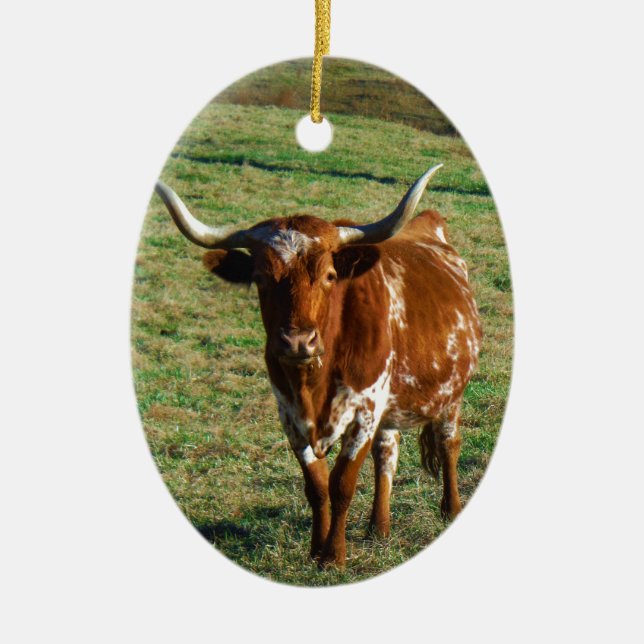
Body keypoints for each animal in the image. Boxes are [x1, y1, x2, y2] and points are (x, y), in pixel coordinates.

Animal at [154, 164, 482, 568]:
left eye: (329, 275)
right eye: (260, 278)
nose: (297, 342)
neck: (314, 382)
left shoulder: (364, 412)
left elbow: (341, 484)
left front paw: (334, 556)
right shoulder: (290, 416)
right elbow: (317, 487)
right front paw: (315, 550)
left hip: (451, 393)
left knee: (448, 442)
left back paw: (450, 509)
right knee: (387, 454)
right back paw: (378, 527)